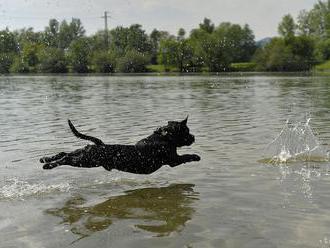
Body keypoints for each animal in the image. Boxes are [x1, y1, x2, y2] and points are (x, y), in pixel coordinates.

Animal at [40, 116, 200, 173]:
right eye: (187, 131)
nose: (194, 137)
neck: (165, 137)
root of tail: (99, 144)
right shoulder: (174, 160)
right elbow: (186, 156)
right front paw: (196, 156)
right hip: (86, 160)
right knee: (66, 158)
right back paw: (48, 165)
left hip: (84, 153)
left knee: (64, 153)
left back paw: (45, 159)